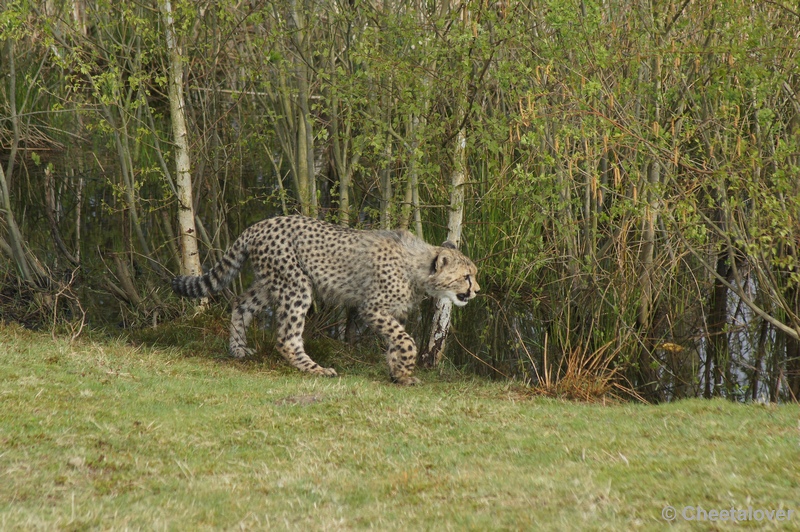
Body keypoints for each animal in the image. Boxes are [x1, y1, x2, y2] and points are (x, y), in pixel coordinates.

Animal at [172, 214, 478, 384]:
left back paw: (237, 349)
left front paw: (397, 373)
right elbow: (406, 340)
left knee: (240, 302)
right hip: (296, 285)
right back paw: (315, 369)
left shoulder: (389, 312)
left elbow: (395, 341)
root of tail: (261, 224)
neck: (419, 267)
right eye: (466, 276)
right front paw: (404, 371)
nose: (476, 291)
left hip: (271, 283)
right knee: (286, 337)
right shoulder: (372, 308)